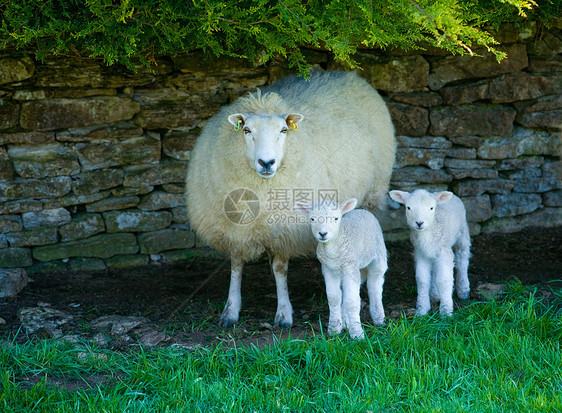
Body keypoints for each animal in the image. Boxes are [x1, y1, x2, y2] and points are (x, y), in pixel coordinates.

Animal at [294, 199, 384, 338]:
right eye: (312, 219)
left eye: (336, 218)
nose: (323, 234)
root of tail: (362, 210)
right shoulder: (328, 268)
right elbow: (334, 298)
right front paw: (334, 329)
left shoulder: (350, 266)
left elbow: (352, 301)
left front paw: (357, 334)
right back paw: (346, 323)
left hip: (378, 254)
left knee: (375, 285)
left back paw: (378, 317)